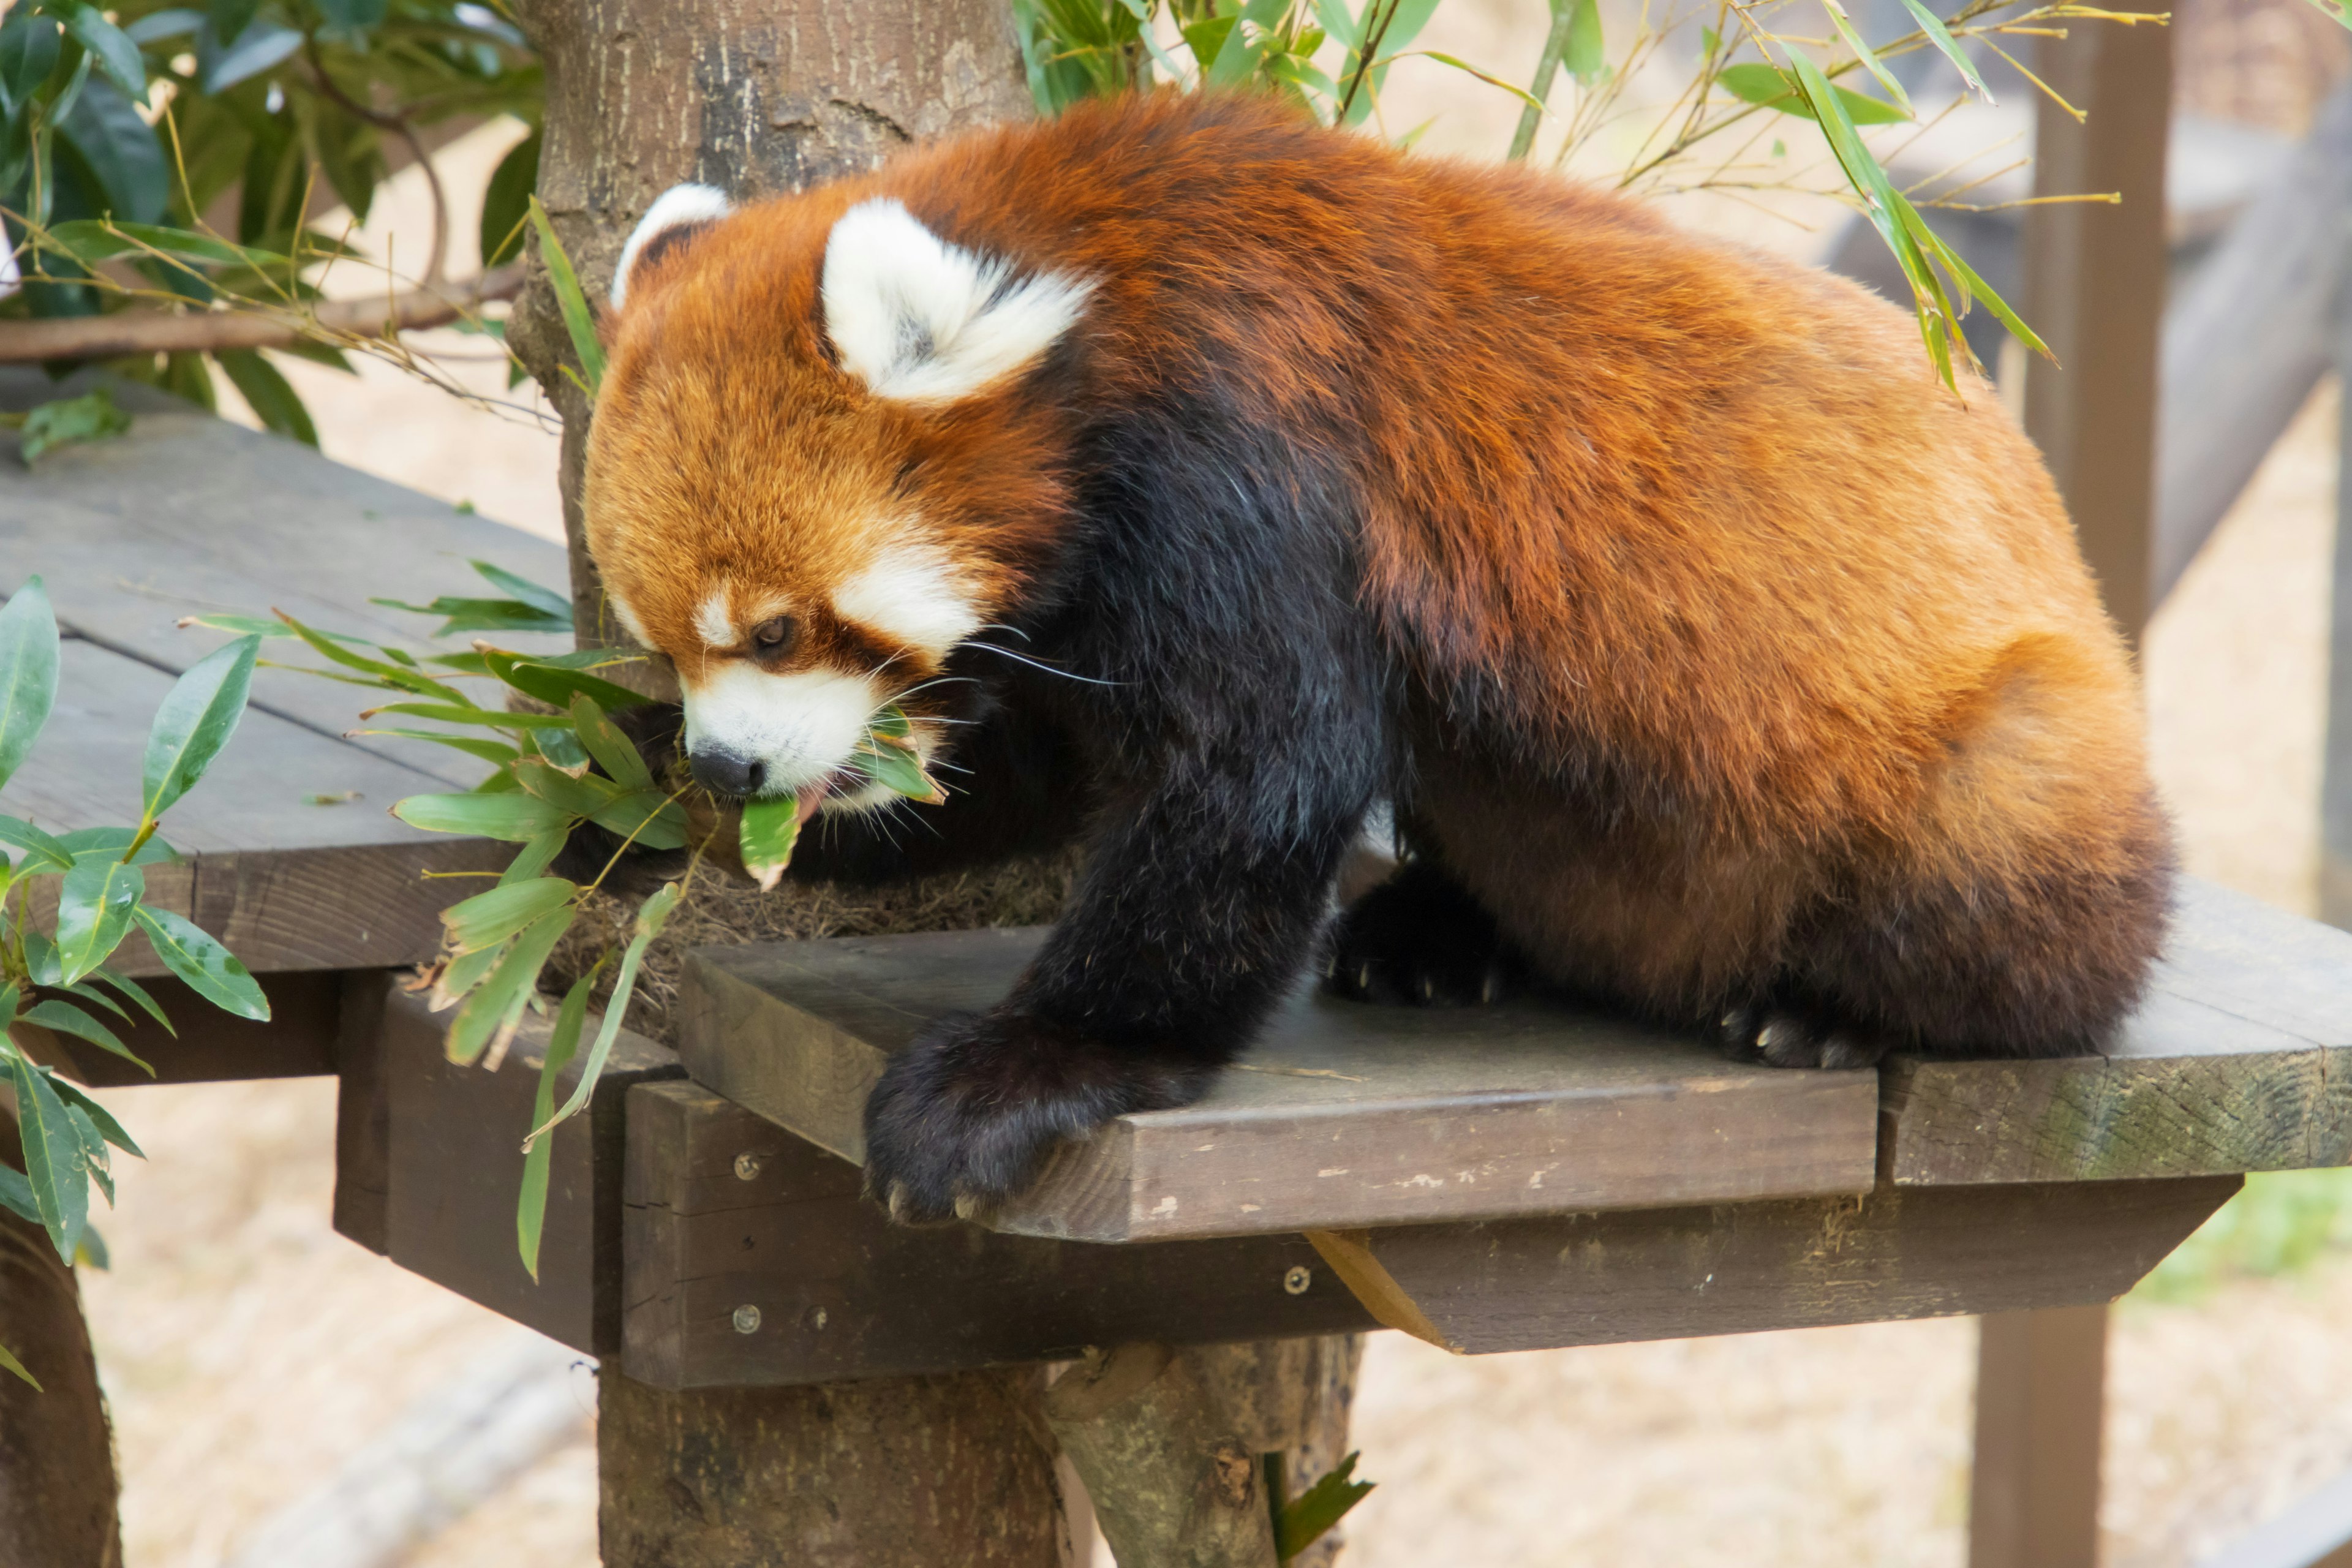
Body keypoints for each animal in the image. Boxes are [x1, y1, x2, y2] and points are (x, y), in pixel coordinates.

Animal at [583, 92, 2163, 1232]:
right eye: (668, 643)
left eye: (776, 628)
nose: (729, 758)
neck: (1106, 275)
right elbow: (1029, 775)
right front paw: (652, 801)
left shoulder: (1249, 472)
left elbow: (1244, 785)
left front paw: (1034, 1067)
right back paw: (1438, 932)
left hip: (2000, 757)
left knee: (2008, 882)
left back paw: (1829, 1008)